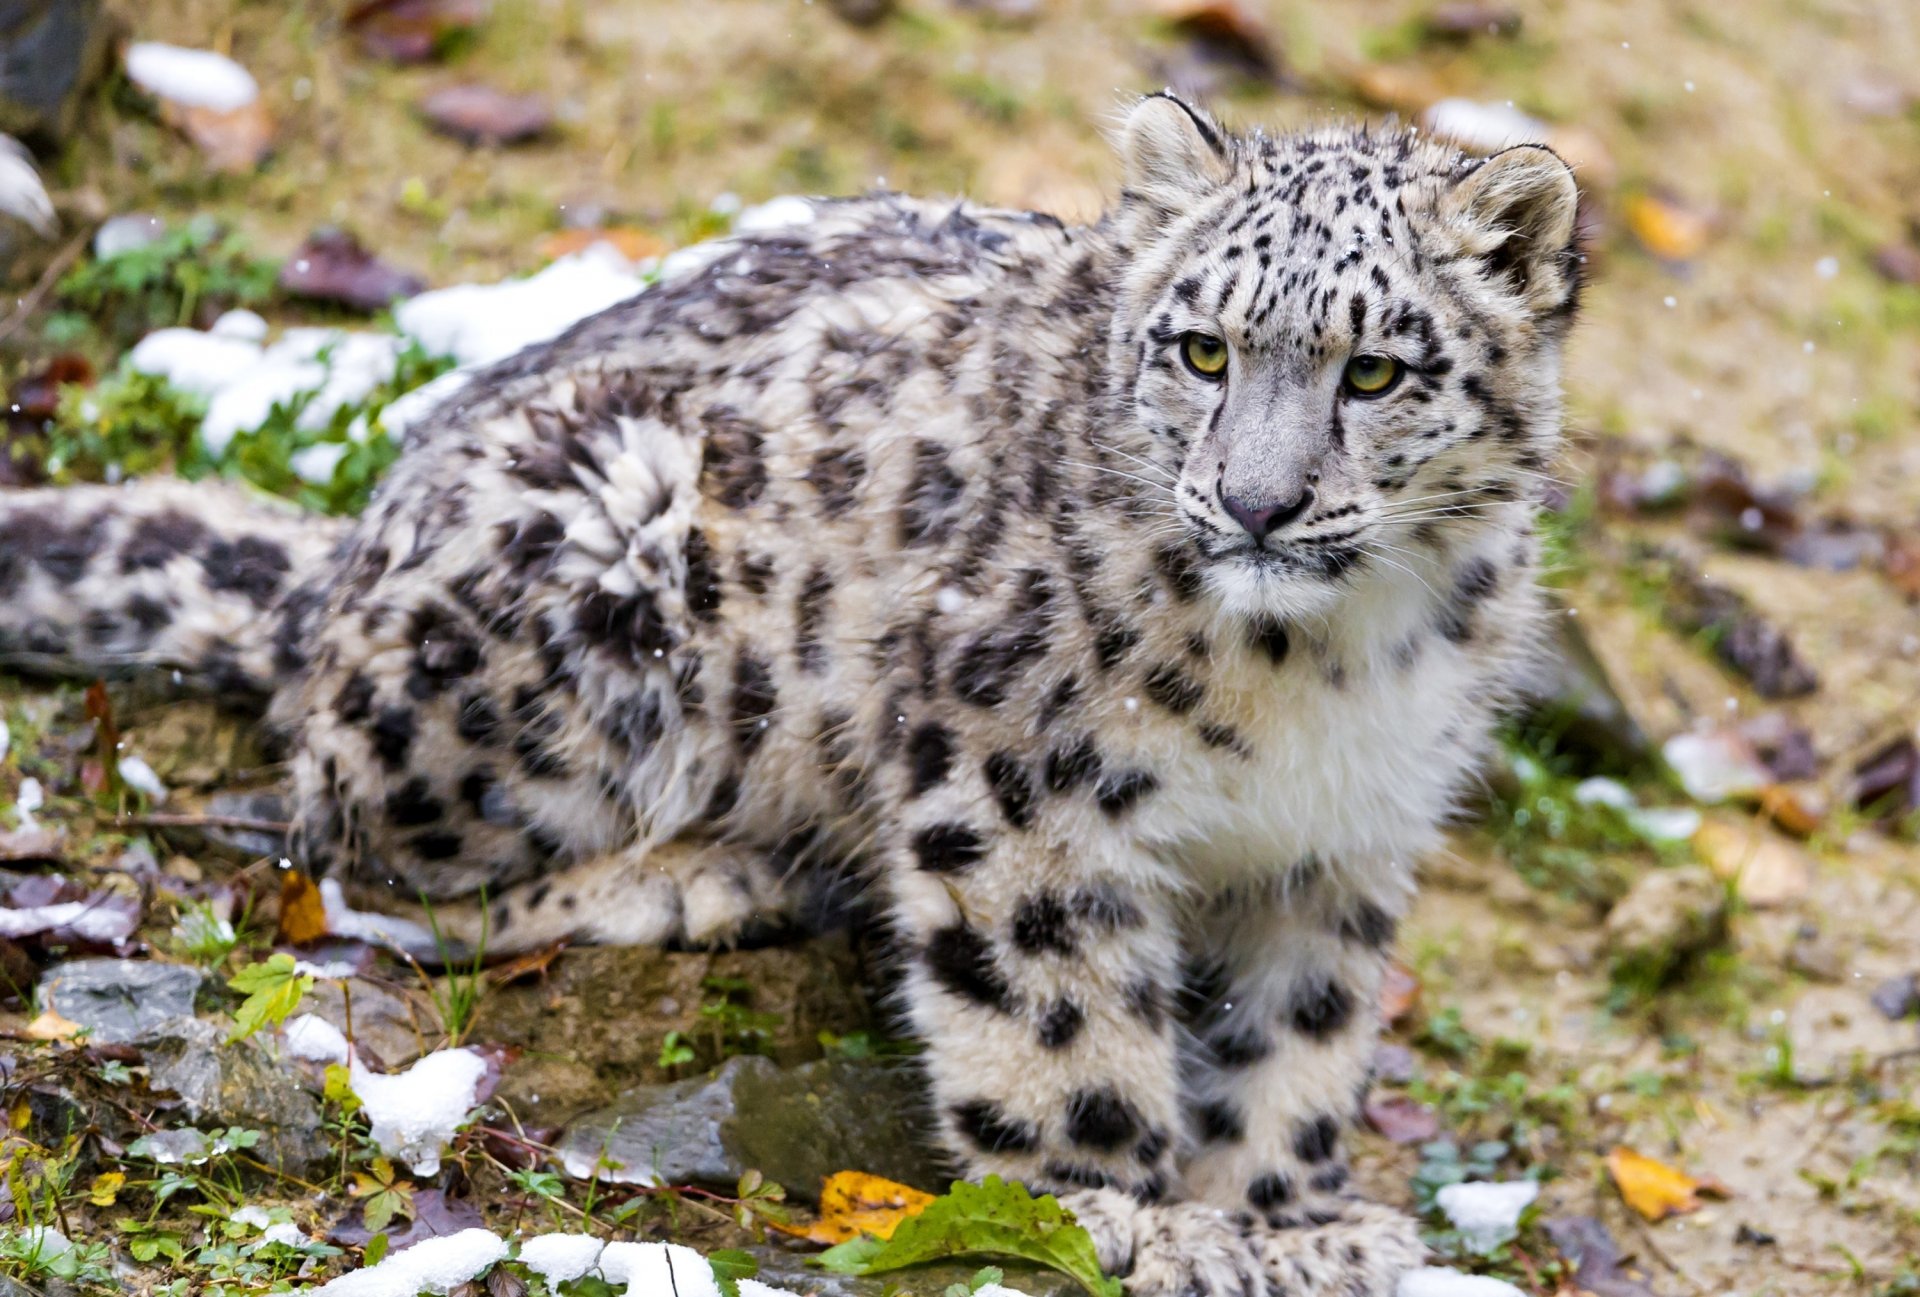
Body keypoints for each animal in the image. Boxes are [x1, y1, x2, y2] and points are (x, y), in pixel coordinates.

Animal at [0, 95, 1582, 1295]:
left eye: (1374, 369)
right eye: (1203, 348)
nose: (1256, 504)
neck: (1329, 667)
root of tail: (343, 571)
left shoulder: (1346, 841)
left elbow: (1301, 1032)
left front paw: (1287, 1222)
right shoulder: (1024, 790)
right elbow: (1061, 1014)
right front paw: (1124, 1210)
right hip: (587, 602)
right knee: (359, 854)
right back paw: (705, 876)